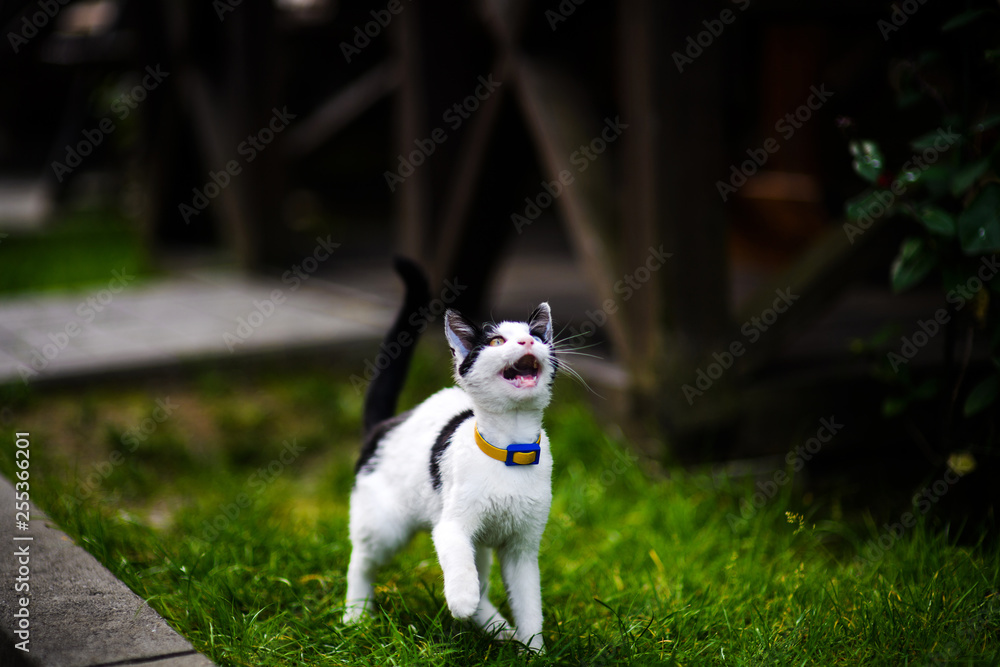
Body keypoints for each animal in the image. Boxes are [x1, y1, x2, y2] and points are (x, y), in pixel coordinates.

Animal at [344, 258, 556, 652]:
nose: (526, 341)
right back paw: (356, 615)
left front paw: (534, 648)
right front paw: (461, 602)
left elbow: (528, 600)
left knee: (483, 578)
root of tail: (385, 424)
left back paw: (496, 627)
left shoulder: (523, 547)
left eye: (537, 337)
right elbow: (458, 563)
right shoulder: (452, 526)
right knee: (361, 561)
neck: (510, 450)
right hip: (384, 524)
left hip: (482, 546)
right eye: (496, 341)